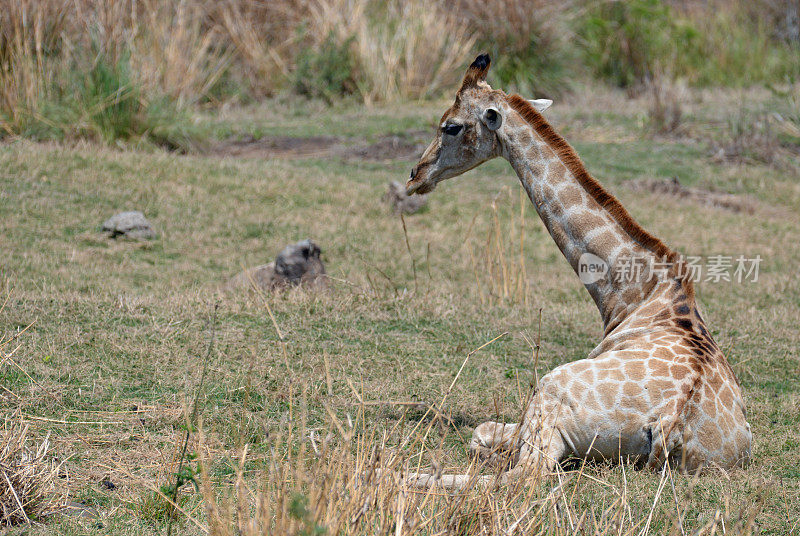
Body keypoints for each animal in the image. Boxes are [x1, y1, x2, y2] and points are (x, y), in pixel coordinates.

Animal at [404, 55, 752, 490]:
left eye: (450, 125)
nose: (415, 176)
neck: (633, 293)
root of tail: (674, 423)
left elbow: (479, 433)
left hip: (549, 390)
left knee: (521, 477)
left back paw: (392, 472)